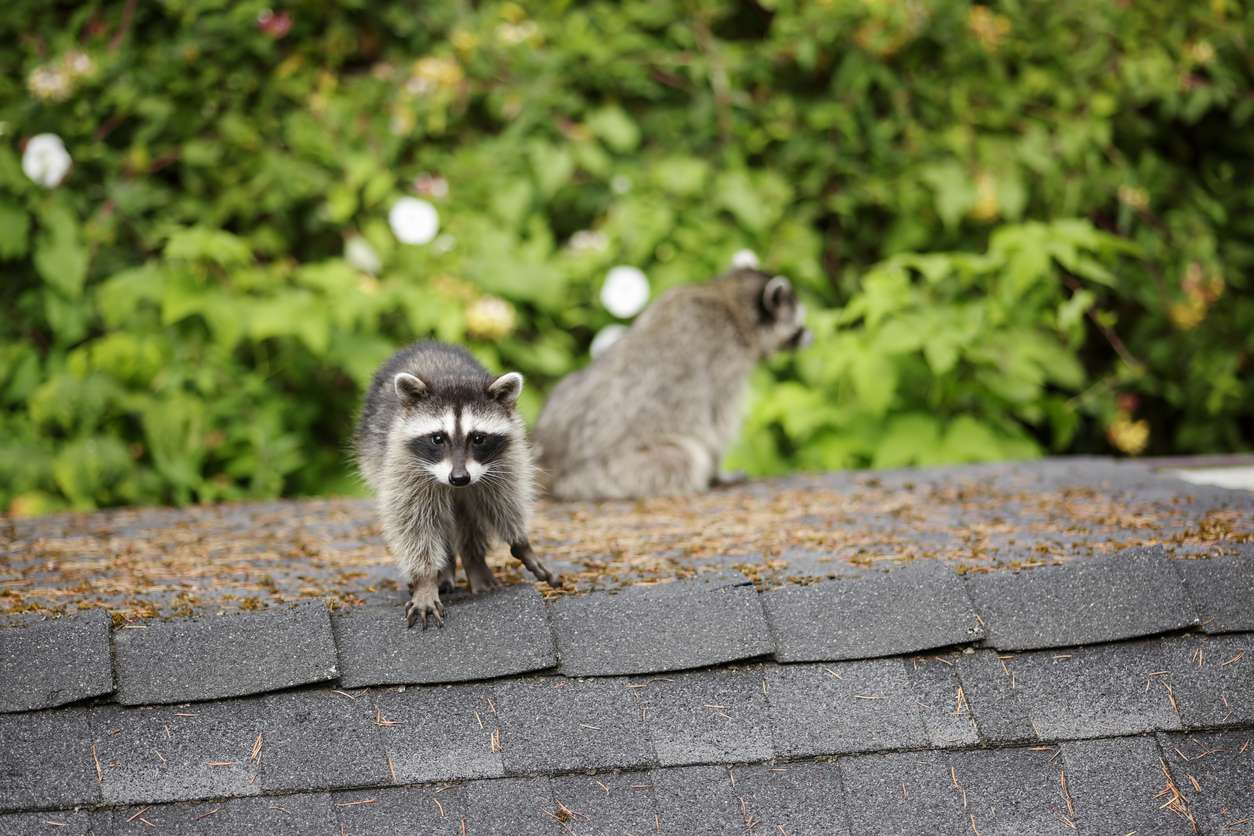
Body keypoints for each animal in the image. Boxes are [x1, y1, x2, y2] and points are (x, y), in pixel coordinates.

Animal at [353, 341, 558, 627]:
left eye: (479, 438)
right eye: (438, 438)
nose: (459, 478)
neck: (452, 376)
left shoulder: (506, 460)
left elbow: (505, 501)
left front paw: (521, 543)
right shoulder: (403, 465)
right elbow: (413, 523)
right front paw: (426, 580)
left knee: (468, 518)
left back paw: (474, 562)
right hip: (375, 452)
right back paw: (445, 569)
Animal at [534, 267, 810, 500]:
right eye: (799, 324)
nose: (811, 336)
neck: (726, 297)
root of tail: (555, 466)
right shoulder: (725, 360)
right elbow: (717, 424)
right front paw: (719, 472)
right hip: (614, 470)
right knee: (687, 457)